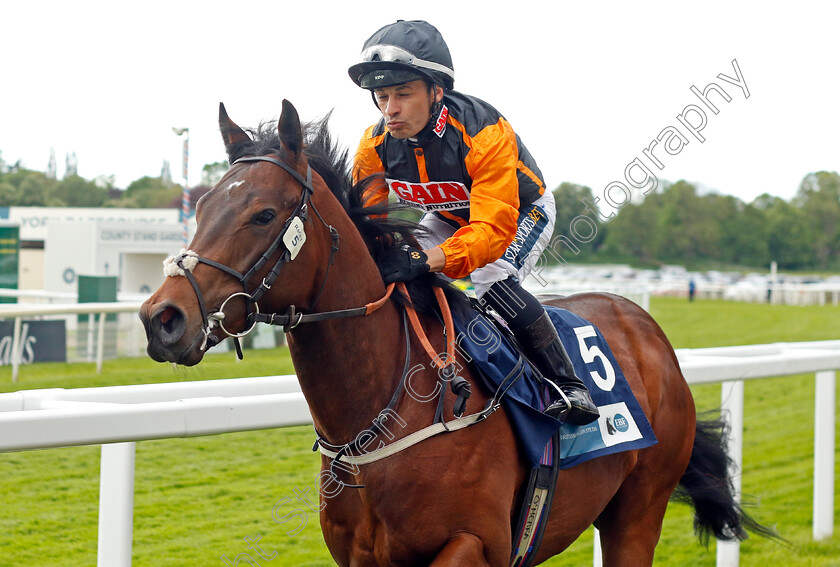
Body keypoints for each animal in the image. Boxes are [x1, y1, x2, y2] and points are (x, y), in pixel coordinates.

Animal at [141, 100, 772, 564]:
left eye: (264, 215)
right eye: (200, 208)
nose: (162, 318)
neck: (385, 415)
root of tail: (647, 329)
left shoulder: (475, 545)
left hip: (638, 512)